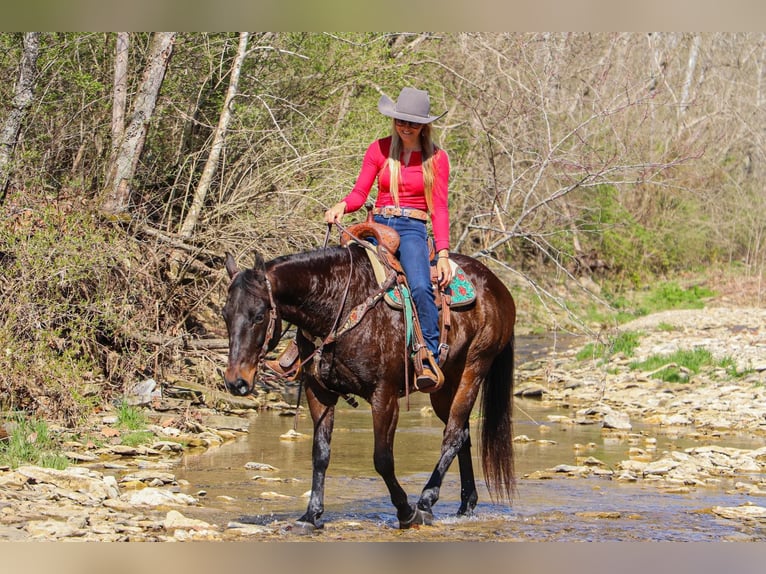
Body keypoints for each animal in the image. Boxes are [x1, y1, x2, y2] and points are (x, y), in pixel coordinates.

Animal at [222, 237, 520, 532]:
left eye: (259, 315)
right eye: (225, 314)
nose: (237, 381)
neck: (338, 307)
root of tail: (497, 286)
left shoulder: (383, 396)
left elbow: (383, 459)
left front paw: (406, 512)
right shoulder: (319, 393)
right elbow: (320, 454)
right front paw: (311, 515)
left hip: (473, 370)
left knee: (453, 435)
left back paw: (425, 502)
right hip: (445, 386)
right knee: (462, 434)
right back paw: (466, 504)